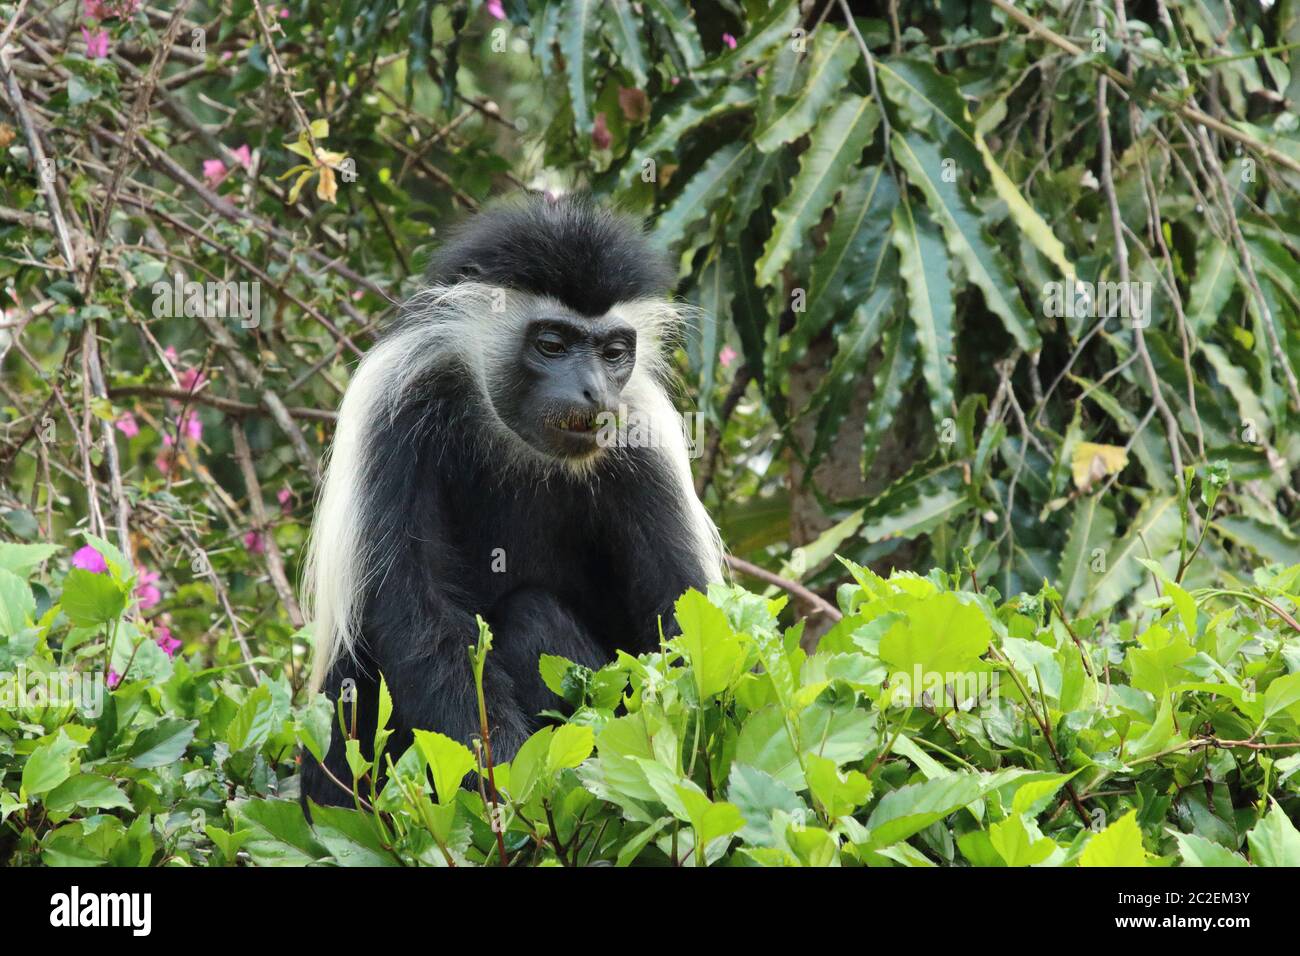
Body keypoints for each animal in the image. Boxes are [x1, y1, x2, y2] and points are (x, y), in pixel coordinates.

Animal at [300, 192, 728, 806]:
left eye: (613, 351)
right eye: (552, 345)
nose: (594, 391)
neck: (512, 439)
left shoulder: (645, 441)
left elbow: (679, 612)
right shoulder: (395, 412)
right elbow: (421, 612)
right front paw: (501, 782)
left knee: (532, 618)